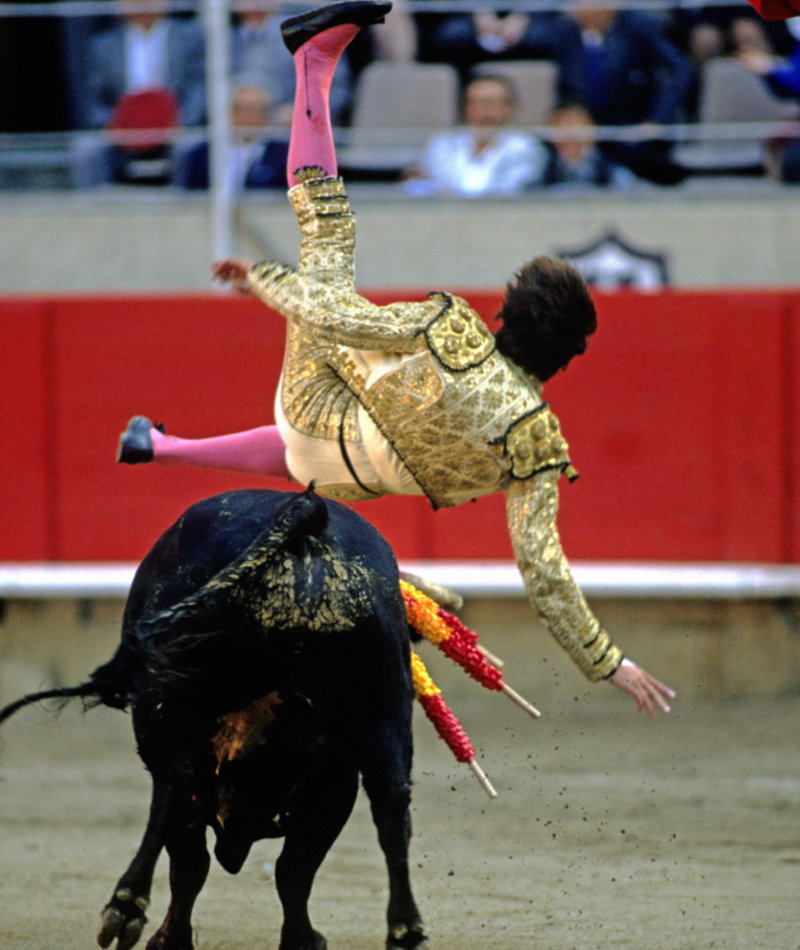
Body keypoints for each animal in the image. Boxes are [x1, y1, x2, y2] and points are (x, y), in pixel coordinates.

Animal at [0, 490, 432, 950]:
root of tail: (305, 513)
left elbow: (194, 861)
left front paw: (169, 937)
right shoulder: (333, 782)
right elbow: (293, 870)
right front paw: (301, 939)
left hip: (167, 705)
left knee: (174, 785)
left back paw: (127, 906)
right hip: (384, 704)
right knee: (391, 802)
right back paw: (405, 929)